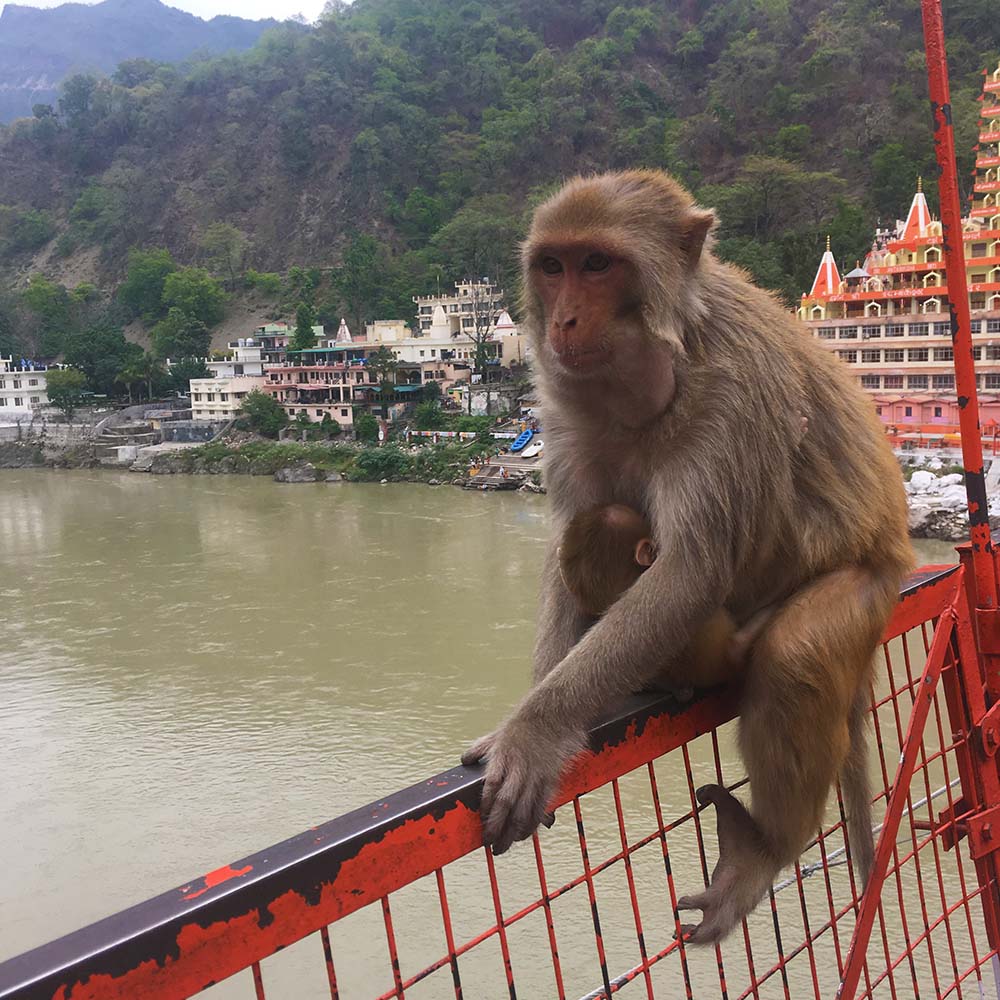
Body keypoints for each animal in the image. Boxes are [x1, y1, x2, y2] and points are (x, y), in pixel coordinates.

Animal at [461, 170, 913, 945]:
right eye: (553, 266)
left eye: (597, 264)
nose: (564, 321)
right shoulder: (562, 409)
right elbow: (568, 549)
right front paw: (536, 711)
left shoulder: (730, 395)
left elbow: (690, 573)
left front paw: (536, 734)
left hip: (867, 585)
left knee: (795, 652)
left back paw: (766, 850)